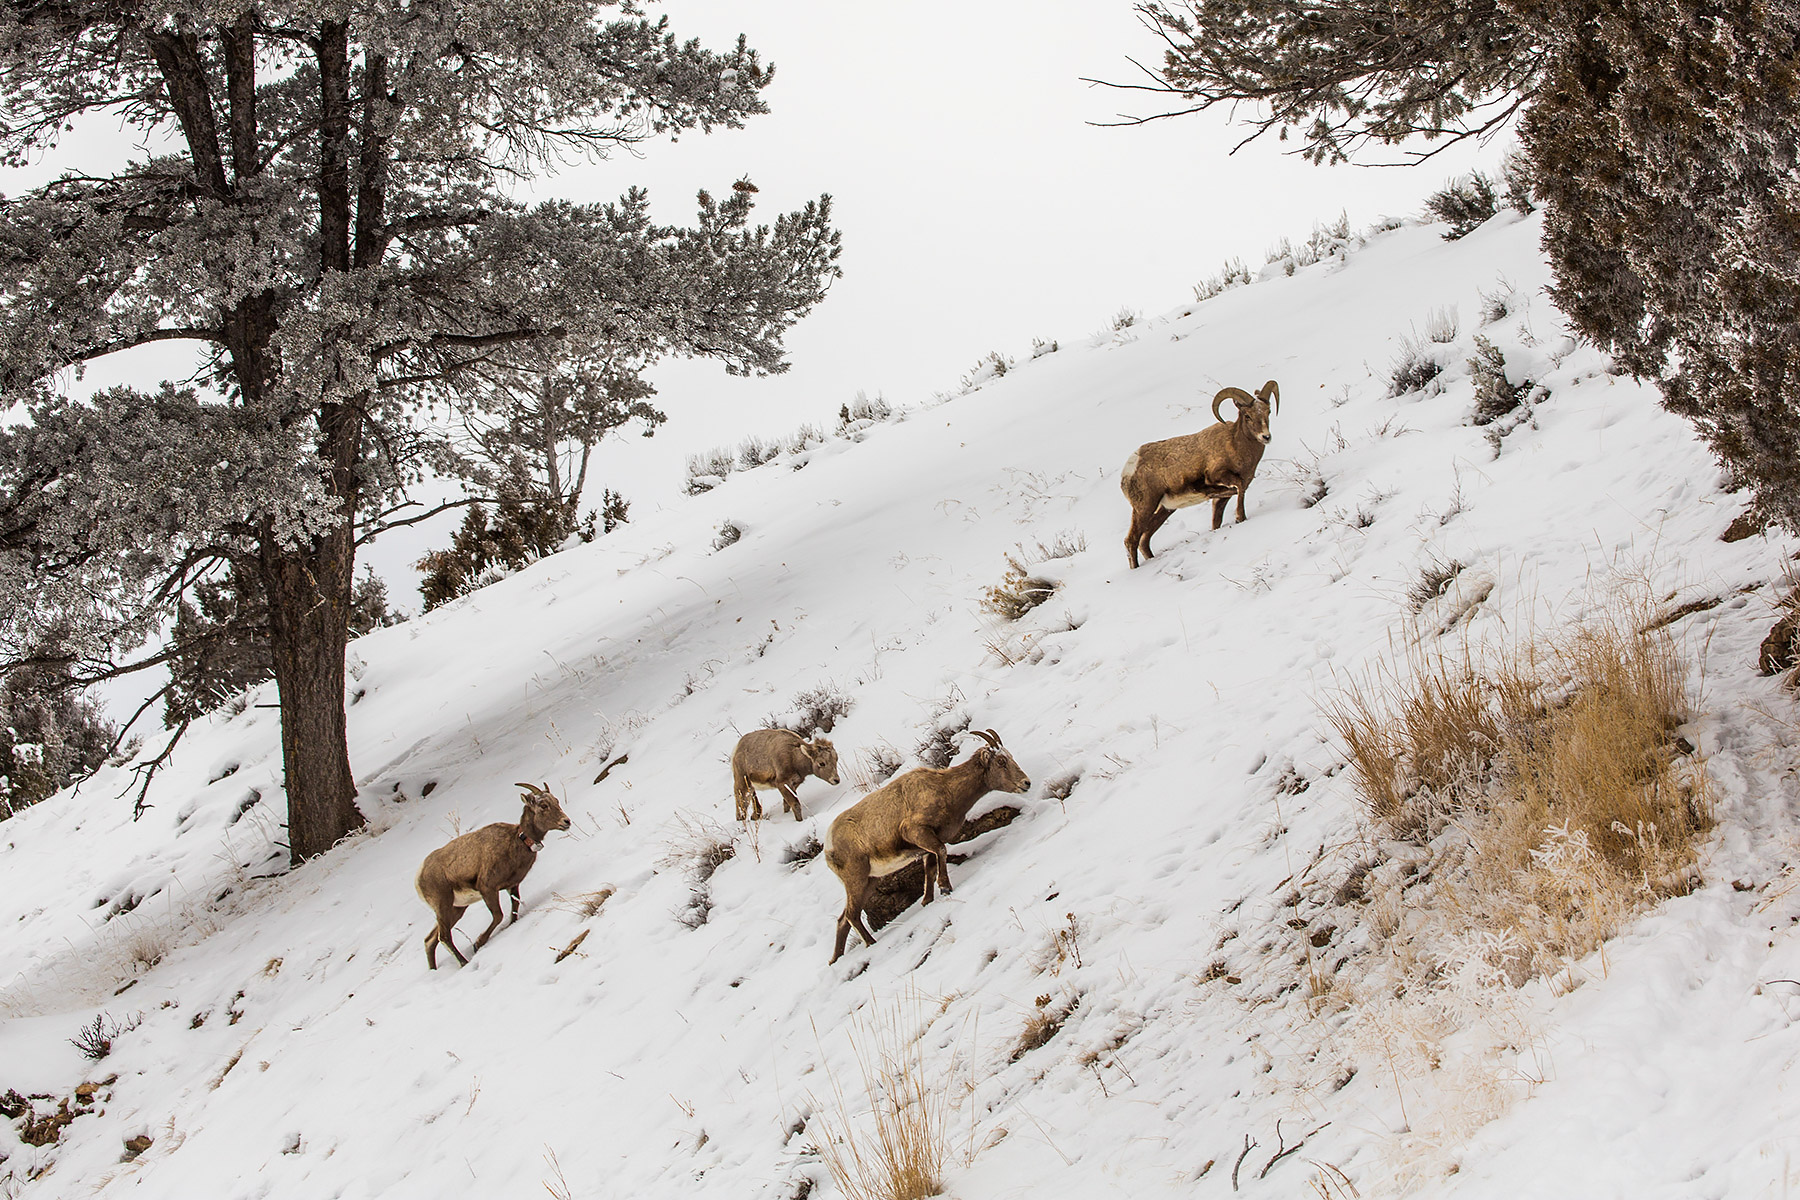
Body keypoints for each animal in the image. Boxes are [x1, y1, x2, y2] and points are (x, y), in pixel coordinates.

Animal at [414, 782, 571, 969]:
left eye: (556, 801)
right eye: (543, 806)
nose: (566, 822)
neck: (515, 841)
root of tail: (419, 877)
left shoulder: (512, 886)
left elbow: (514, 909)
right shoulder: (487, 889)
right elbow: (498, 915)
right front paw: (477, 943)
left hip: (456, 908)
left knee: (430, 940)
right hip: (443, 905)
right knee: (443, 937)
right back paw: (464, 962)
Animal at [824, 729, 1029, 964]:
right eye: (1001, 761)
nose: (1026, 783)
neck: (945, 789)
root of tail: (828, 846)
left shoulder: (927, 845)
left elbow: (930, 869)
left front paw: (927, 901)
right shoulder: (918, 832)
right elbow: (941, 852)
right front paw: (946, 887)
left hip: (869, 881)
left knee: (843, 919)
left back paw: (835, 959)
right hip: (856, 879)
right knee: (851, 915)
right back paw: (871, 944)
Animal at [1120, 379, 1281, 568]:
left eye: (1268, 411)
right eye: (1247, 415)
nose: (1266, 437)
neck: (1236, 445)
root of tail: (1129, 469)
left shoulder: (1222, 498)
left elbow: (1217, 519)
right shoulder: (1219, 476)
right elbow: (1239, 489)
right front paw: (1240, 518)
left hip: (1165, 509)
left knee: (1144, 540)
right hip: (1144, 509)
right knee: (1131, 541)